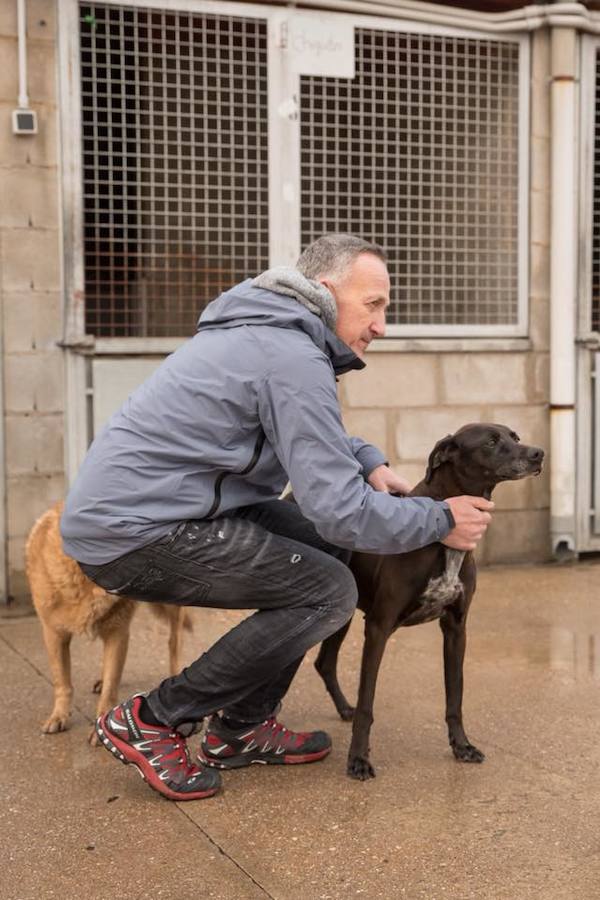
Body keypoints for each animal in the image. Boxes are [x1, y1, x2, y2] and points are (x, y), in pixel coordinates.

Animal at [25, 502, 190, 740]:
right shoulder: (54, 634)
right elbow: (62, 681)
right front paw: (59, 715)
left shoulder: (117, 633)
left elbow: (111, 686)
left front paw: (103, 726)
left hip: (172, 606)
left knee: (174, 643)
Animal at [314, 426, 544, 776]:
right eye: (491, 442)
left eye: (514, 437)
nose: (538, 454)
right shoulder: (378, 627)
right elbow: (368, 702)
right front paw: (358, 759)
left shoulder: (456, 628)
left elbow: (455, 696)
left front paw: (462, 746)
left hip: (342, 612)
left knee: (324, 662)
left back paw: (343, 708)